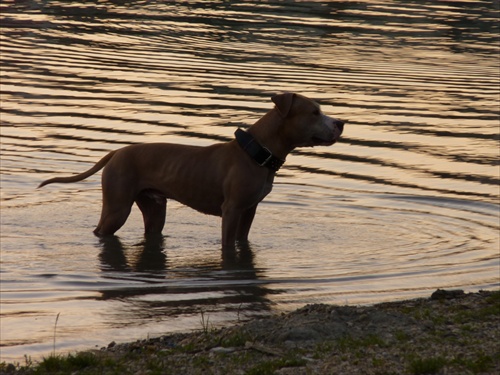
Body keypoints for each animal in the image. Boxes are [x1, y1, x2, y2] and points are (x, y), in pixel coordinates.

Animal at [39, 93, 346, 251]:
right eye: (315, 112)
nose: (342, 122)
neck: (256, 152)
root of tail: (116, 152)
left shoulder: (249, 211)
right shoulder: (232, 211)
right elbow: (228, 246)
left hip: (153, 208)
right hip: (117, 207)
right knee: (101, 230)